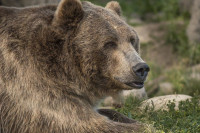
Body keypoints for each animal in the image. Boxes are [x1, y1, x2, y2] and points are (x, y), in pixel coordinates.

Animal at [0, 0, 150, 132]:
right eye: (109, 43)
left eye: (132, 39)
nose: (141, 68)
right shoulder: (28, 84)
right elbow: (84, 124)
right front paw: (143, 126)